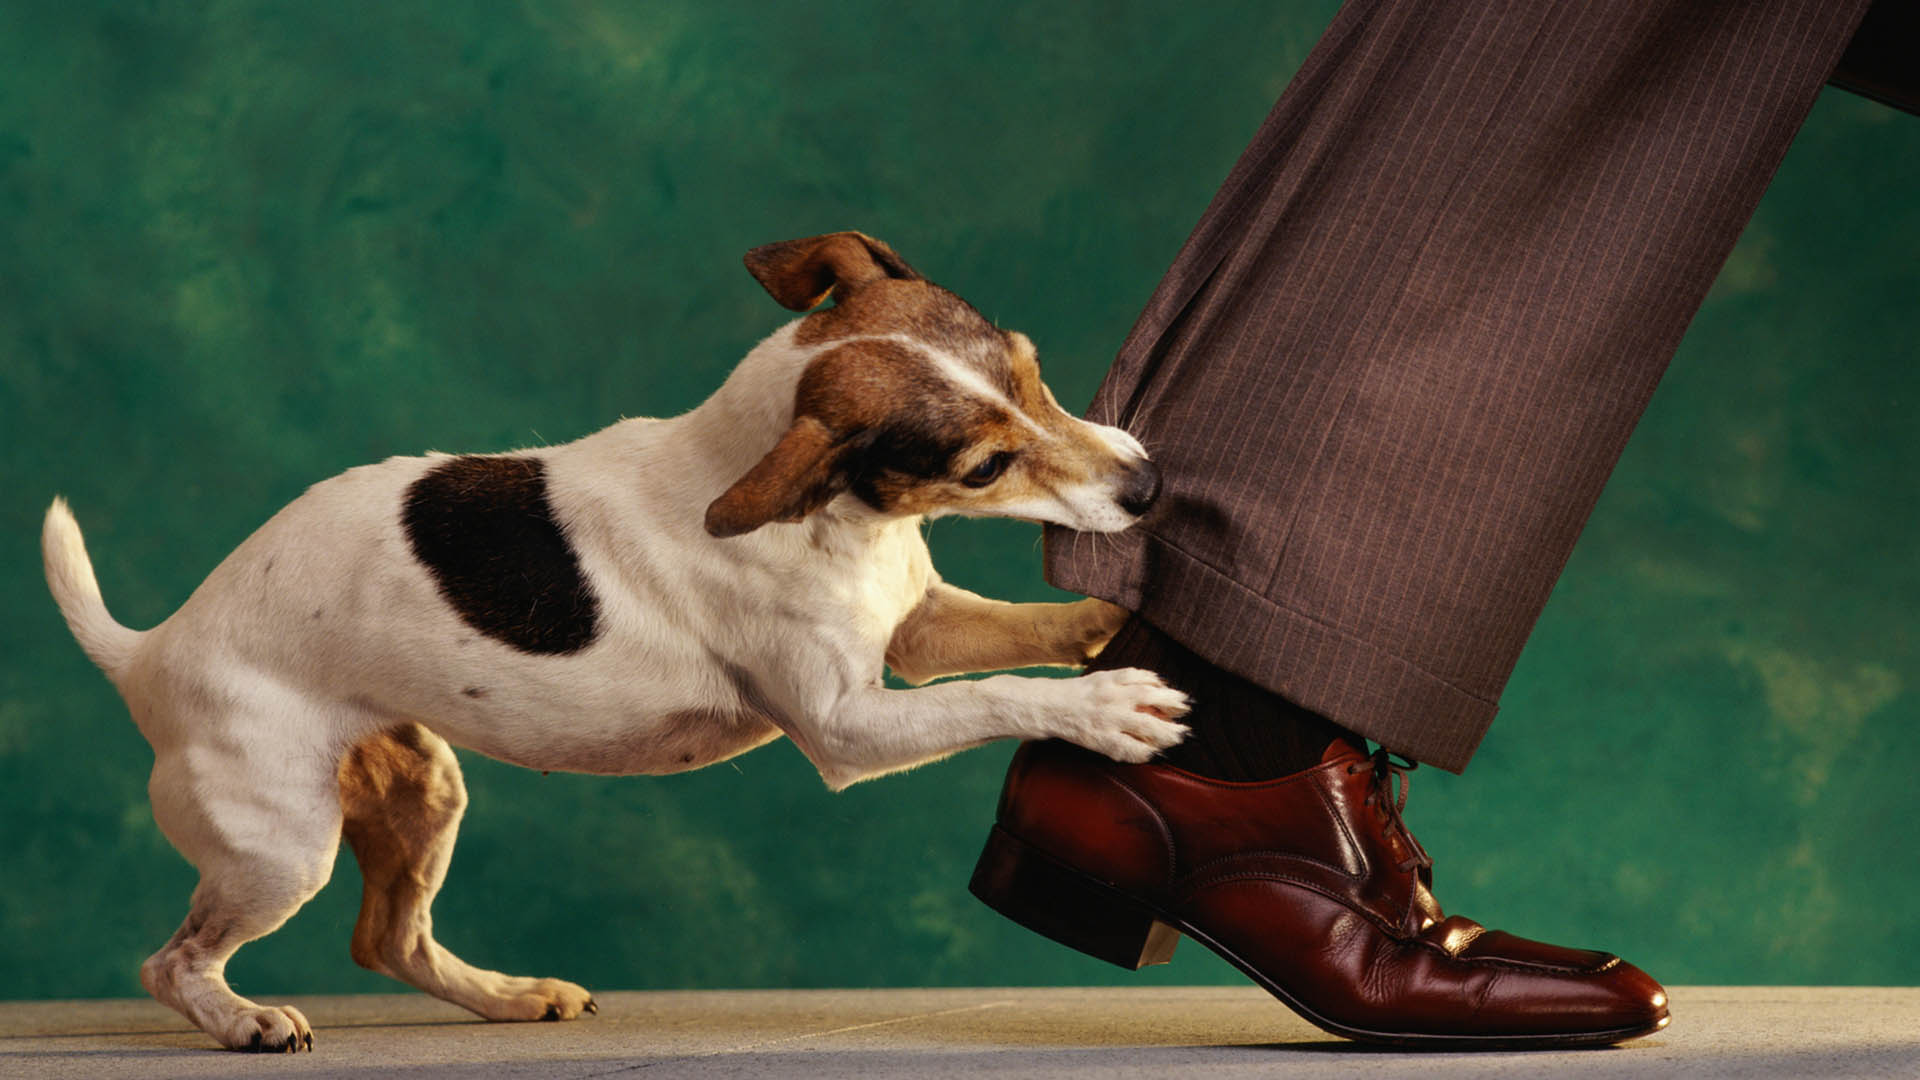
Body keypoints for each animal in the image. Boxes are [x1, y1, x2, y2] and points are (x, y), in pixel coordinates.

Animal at [41, 231, 1182, 1045]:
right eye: (984, 466)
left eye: (1034, 370)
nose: (1148, 488)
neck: (833, 515)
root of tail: (148, 651)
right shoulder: (850, 729)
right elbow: (999, 694)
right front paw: (1108, 706)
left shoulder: (916, 630)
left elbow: (1019, 633)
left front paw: (1107, 621)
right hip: (280, 845)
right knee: (172, 962)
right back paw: (242, 1020)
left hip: (421, 789)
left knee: (387, 938)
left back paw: (505, 995)